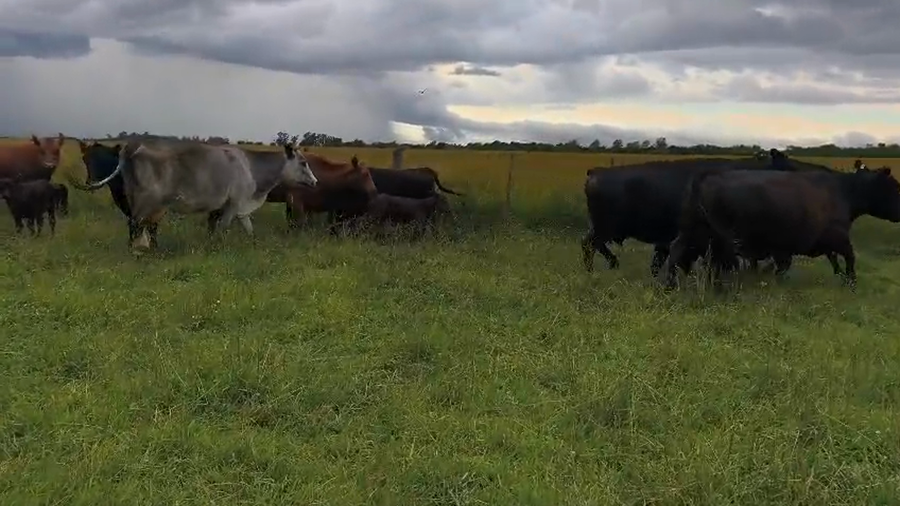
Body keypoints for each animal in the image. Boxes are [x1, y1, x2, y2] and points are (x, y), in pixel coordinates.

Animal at [79, 139, 318, 252]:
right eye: (303, 163)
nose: (315, 182)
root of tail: (132, 147)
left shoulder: (231, 208)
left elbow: (245, 231)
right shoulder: (233, 205)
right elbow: (221, 229)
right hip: (146, 203)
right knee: (135, 225)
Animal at [581, 148, 819, 277]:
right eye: (789, 165)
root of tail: (596, 172)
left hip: (601, 227)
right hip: (605, 227)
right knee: (589, 245)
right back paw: (602, 267)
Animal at [661, 165, 900, 290]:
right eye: (893, 186)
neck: (844, 191)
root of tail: (708, 173)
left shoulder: (790, 247)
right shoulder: (838, 237)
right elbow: (850, 258)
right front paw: (851, 281)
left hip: (691, 231)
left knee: (676, 251)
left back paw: (670, 284)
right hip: (719, 238)